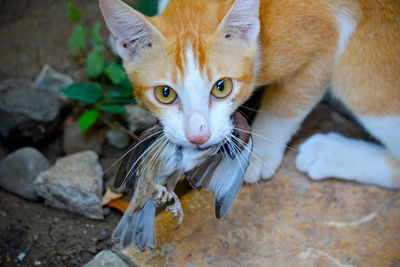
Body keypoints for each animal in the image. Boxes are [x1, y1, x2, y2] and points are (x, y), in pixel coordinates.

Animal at [98, 0, 398, 188]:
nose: (198, 136)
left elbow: (285, 105)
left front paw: (260, 152)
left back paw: (330, 153)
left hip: (359, 70)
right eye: (165, 93)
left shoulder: (322, 42)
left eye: (221, 87)